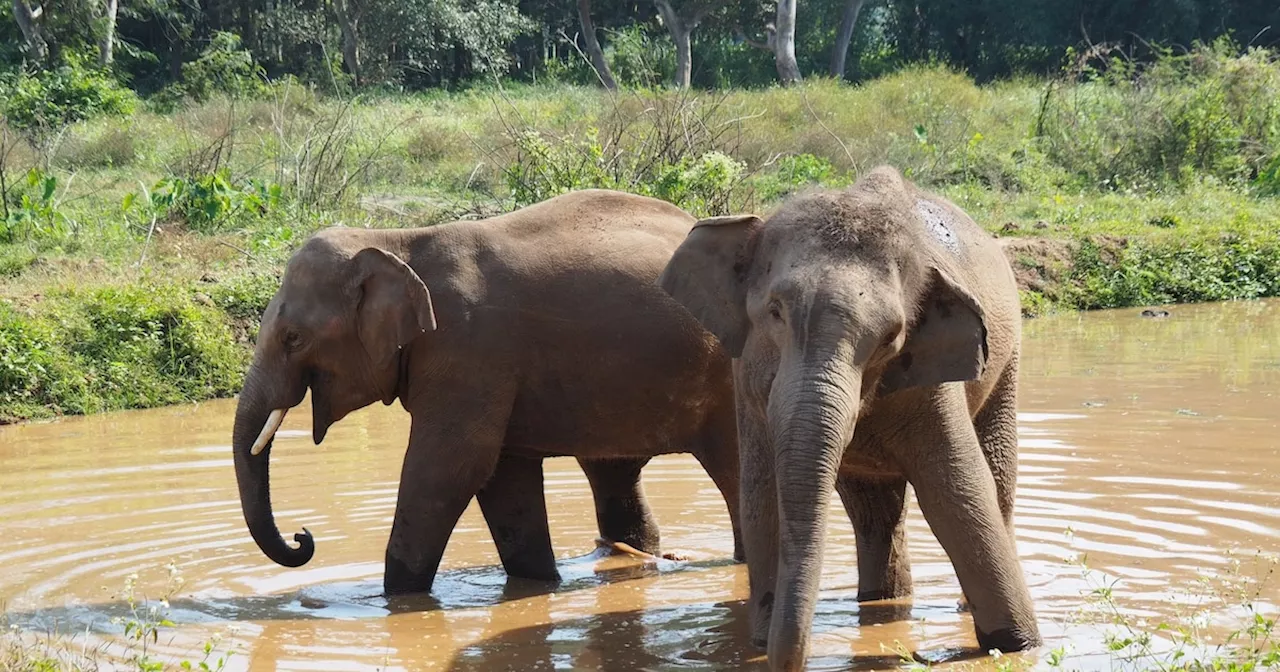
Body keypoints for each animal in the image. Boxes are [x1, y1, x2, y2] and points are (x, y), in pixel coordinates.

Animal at [231, 186, 747, 591]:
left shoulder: (470, 347)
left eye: (293, 338)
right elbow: (503, 474)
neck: (394, 241)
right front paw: (539, 584)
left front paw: (395, 600)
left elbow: (451, 466)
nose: (303, 537)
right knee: (613, 472)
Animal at [660, 165, 1039, 665]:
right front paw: (758, 641)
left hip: (1008, 360)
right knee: (873, 513)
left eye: (891, 336)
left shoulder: (932, 382)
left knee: (995, 479)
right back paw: (881, 602)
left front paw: (1019, 646)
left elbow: (957, 491)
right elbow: (763, 493)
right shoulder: (745, 378)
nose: (788, 660)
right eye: (775, 312)